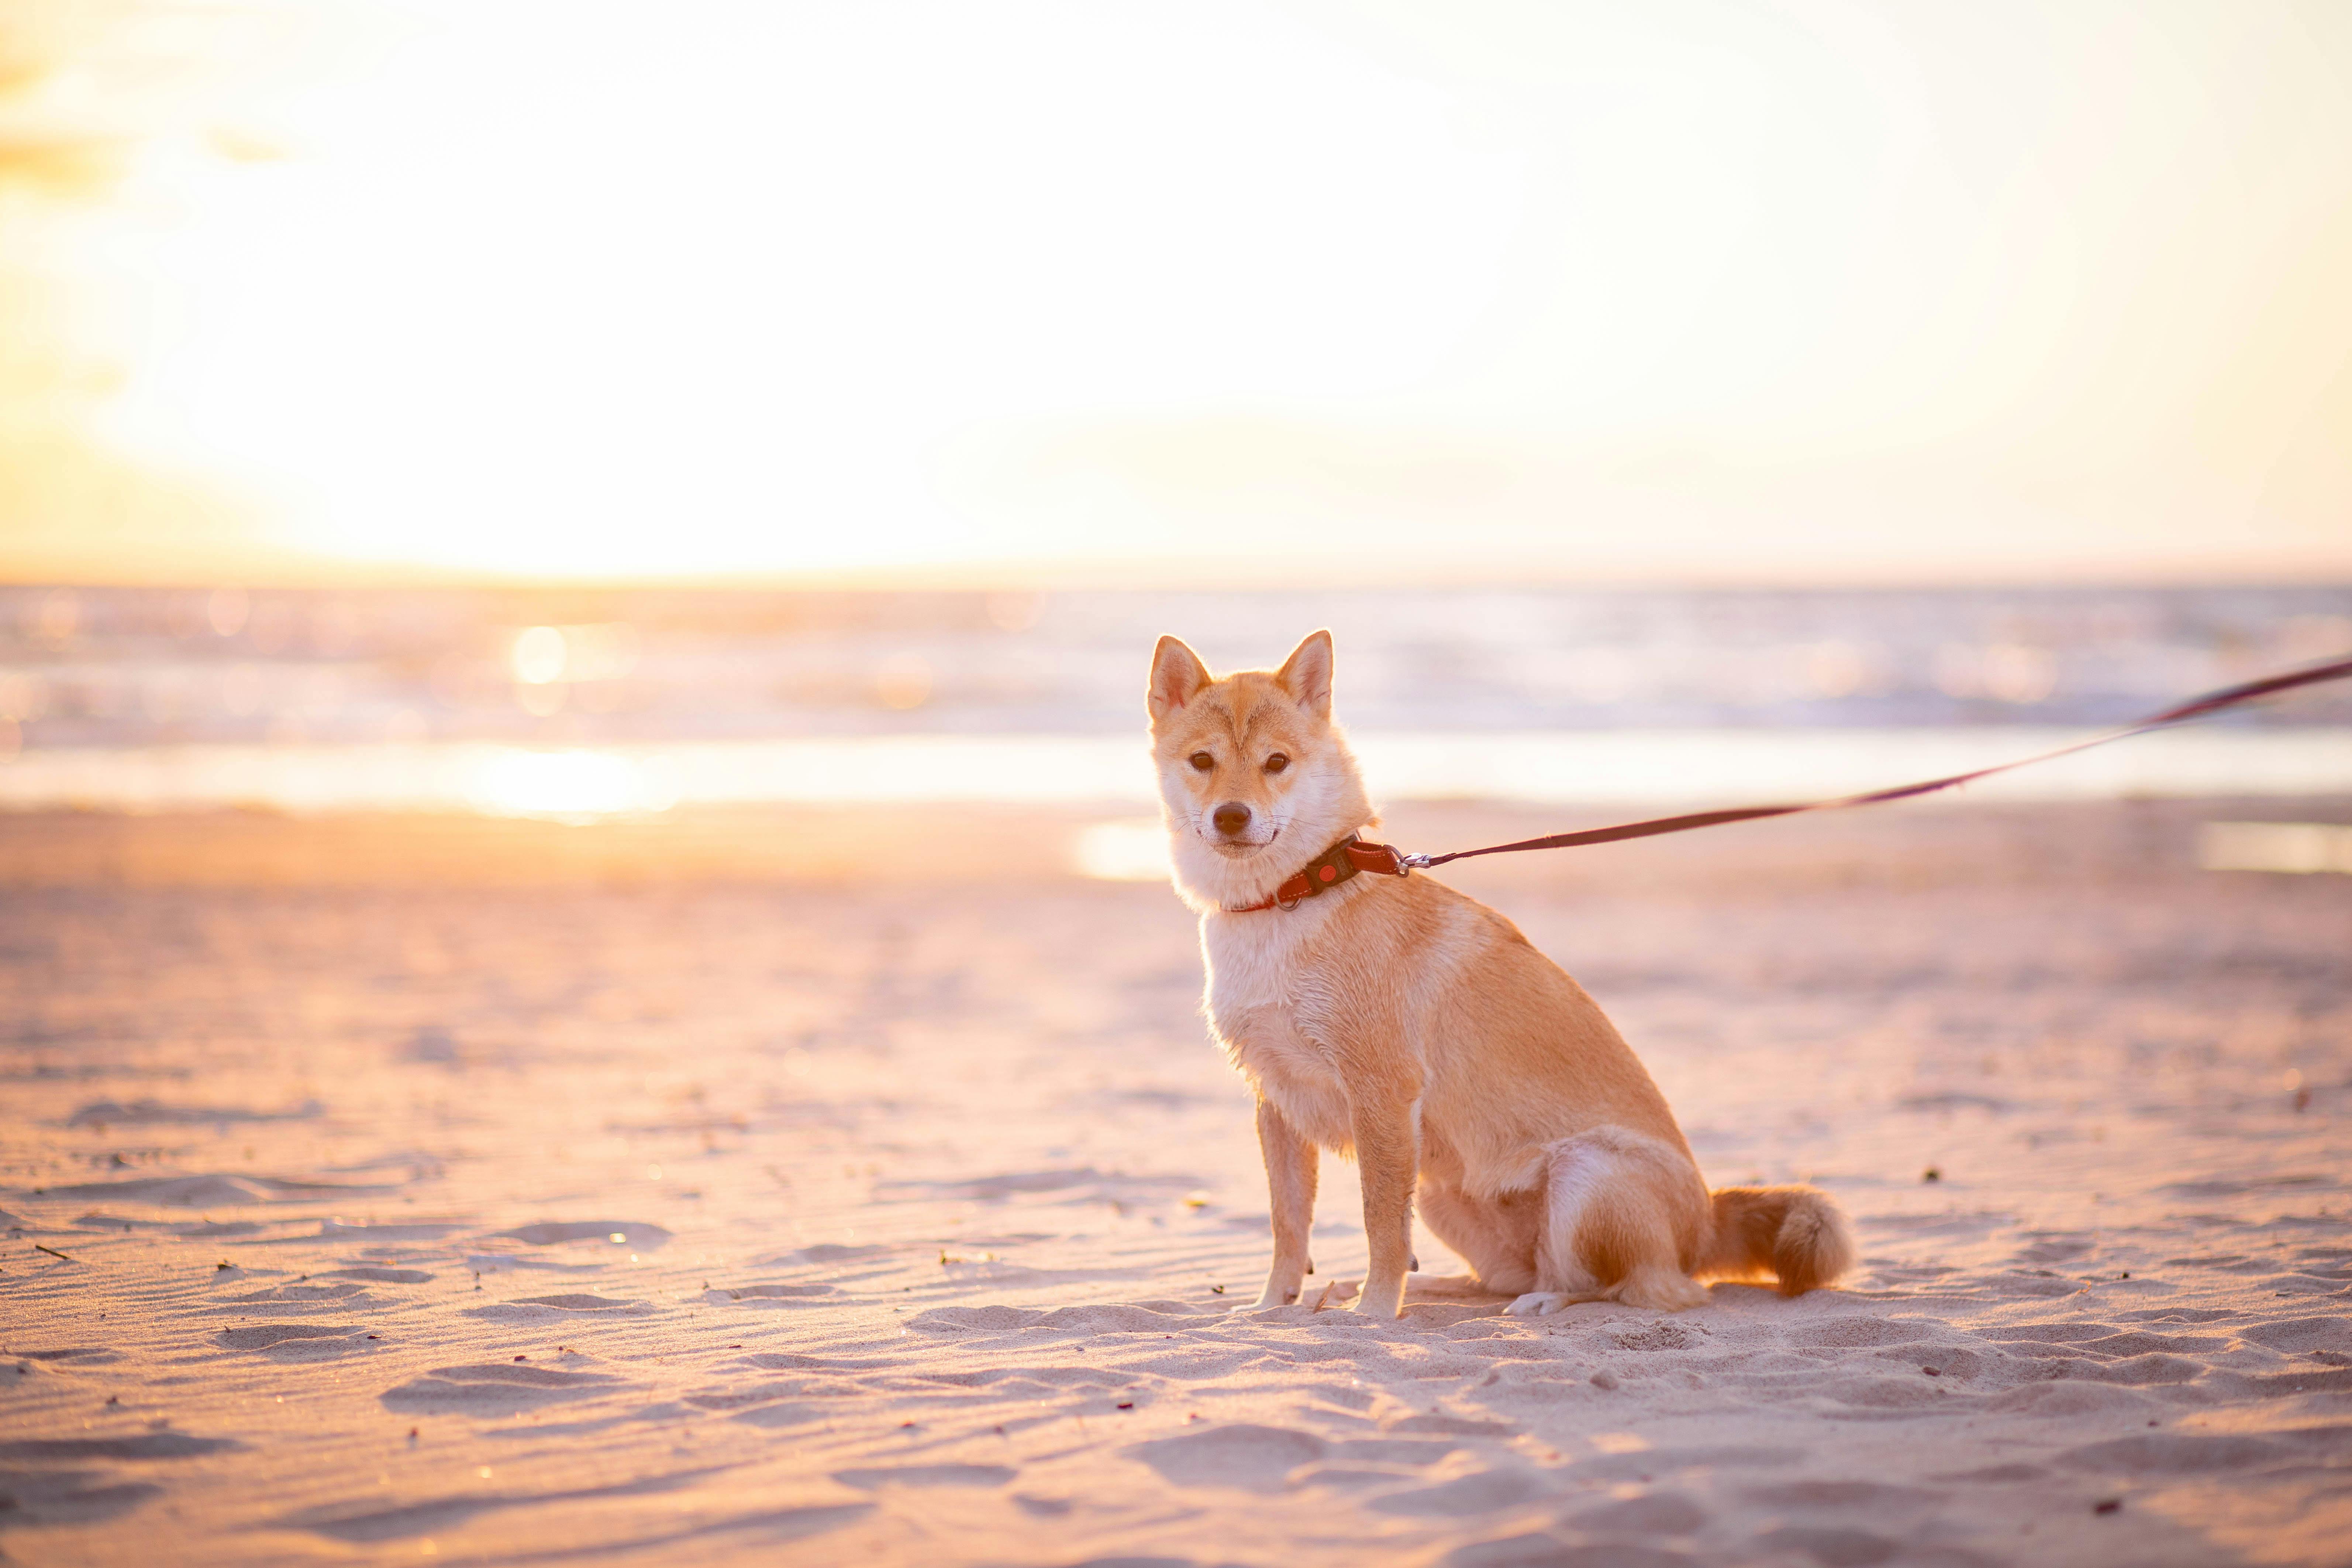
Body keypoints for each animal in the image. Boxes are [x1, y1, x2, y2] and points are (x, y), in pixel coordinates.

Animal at [1148, 630, 1844, 1316]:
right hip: (1440, 1189)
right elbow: (1288, 1223)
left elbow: (1380, 1223)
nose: (1231, 815)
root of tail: (1705, 1220)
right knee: (1505, 1275)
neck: (1294, 893)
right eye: (1203, 761)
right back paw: (1418, 1288)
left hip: (1585, 1172)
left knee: (1643, 1287)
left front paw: (1374, 1312)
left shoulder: (1381, 1092)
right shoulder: (1276, 1099)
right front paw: (1272, 1304)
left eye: (1276, 763)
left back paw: (1542, 1302)